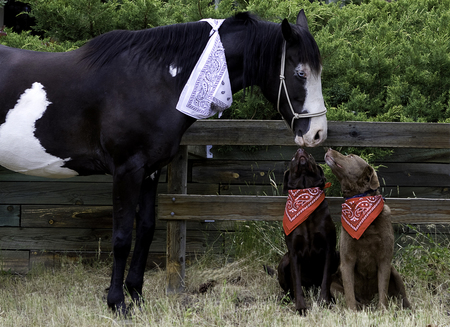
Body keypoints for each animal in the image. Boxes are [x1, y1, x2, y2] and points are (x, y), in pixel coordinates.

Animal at [0, 9, 326, 312]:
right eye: (300, 73)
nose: (318, 133)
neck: (155, 79)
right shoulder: (126, 170)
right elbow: (122, 237)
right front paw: (117, 303)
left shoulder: (149, 171)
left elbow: (145, 230)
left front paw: (136, 296)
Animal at [324, 150, 412, 312]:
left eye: (351, 156)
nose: (329, 149)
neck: (359, 201)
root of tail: (367, 299)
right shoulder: (347, 260)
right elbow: (349, 293)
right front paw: (352, 312)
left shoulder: (384, 260)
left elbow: (383, 291)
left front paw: (382, 311)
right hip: (333, 284)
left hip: (394, 272)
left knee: (402, 296)